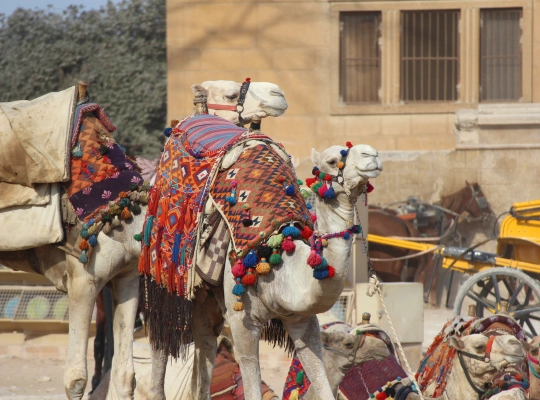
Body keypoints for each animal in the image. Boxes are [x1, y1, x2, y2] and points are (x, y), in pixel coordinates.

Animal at [0, 79, 288, 400]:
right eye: (229, 93)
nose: (277, 93)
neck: (126, 224)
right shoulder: (82, 280)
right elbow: (76, 379)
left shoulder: (127, 278)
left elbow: (127, 375)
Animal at [147, 142, 384, 398]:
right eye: (332, 161)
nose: (372, 154)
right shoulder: (242, 320)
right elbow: (251, 384)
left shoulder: (303, 320)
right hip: (163, 277)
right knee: (161, 335)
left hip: (205, 297)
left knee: (205, 339)